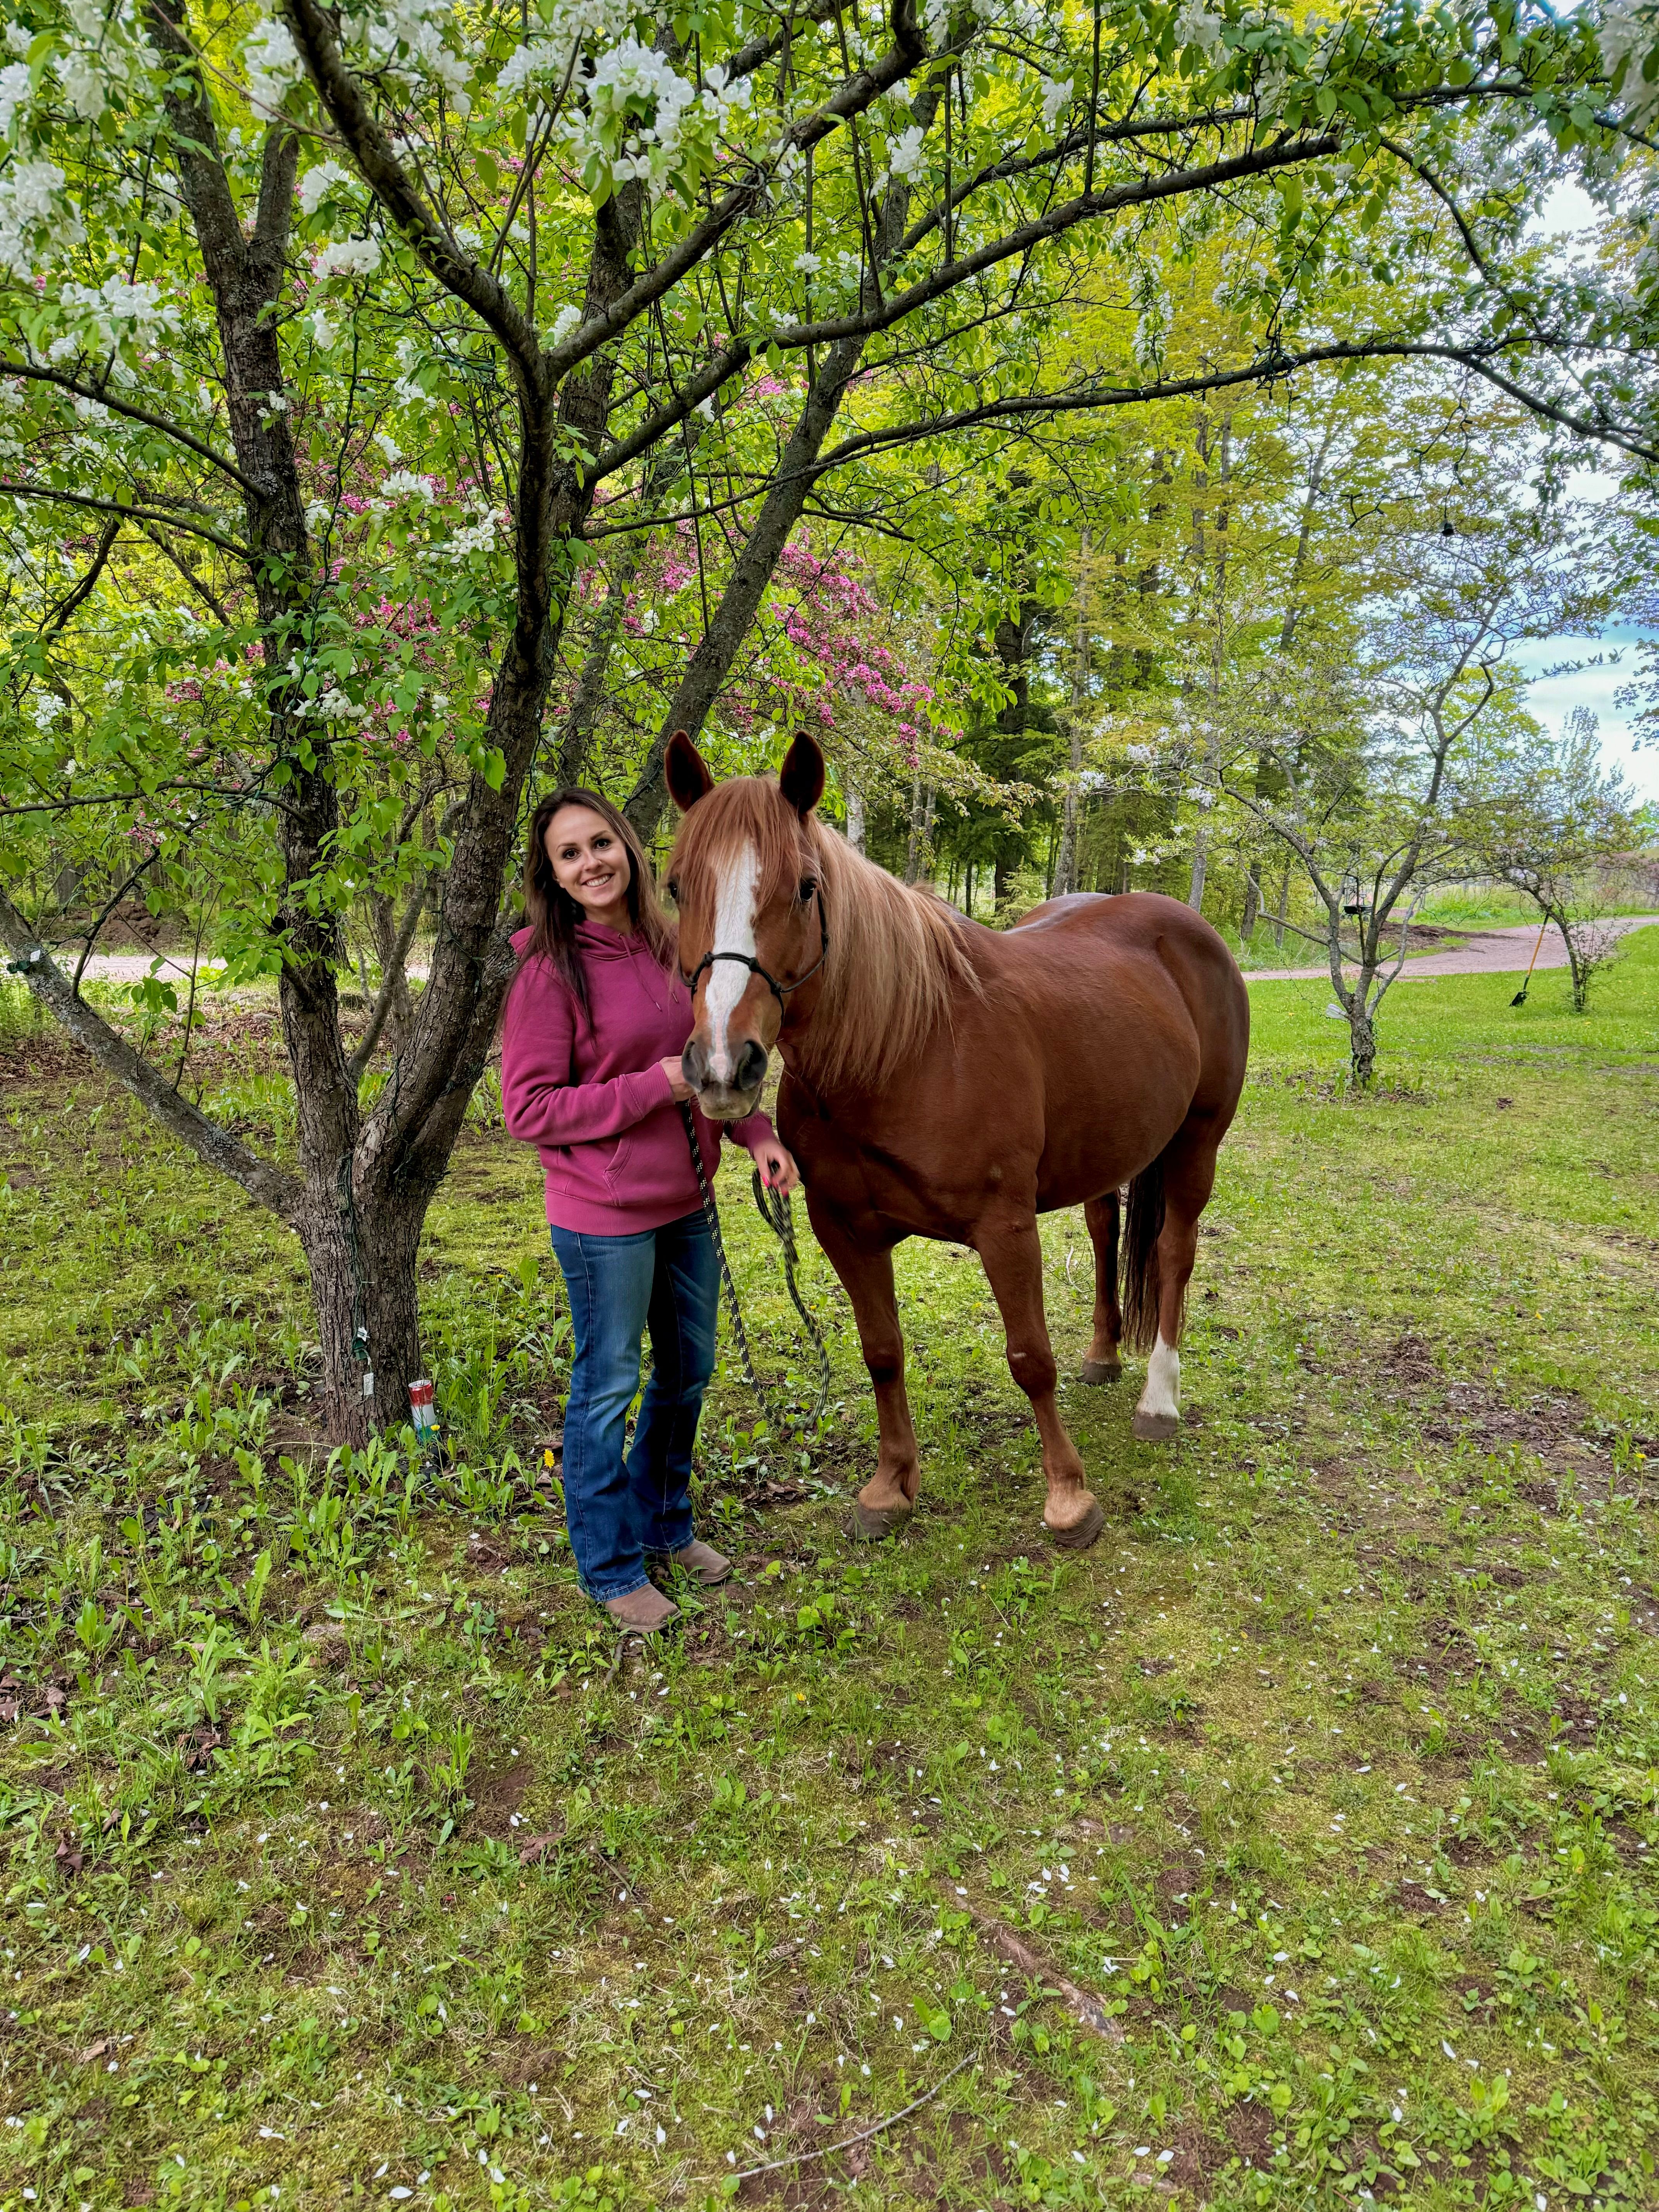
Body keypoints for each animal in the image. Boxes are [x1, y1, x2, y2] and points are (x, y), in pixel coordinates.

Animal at [665, 729, 1249, 1549]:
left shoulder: (1004, 1226)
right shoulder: (843, 1228)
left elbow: (1028, 1357)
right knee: (1104, 1231)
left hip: (1198, 1140)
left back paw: (1158, 1400)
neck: (903, 1048)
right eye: (676, 886)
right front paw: (889, 1486)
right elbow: (881, 1352)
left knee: (1172, 1251)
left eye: (805, 887)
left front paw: (1068, 1498)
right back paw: (1102, 1356)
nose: (723, 1065)